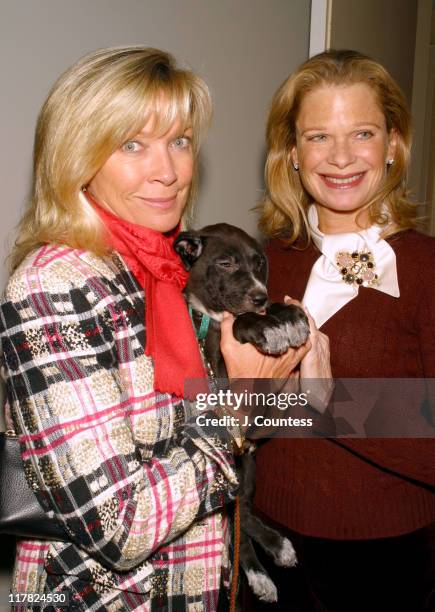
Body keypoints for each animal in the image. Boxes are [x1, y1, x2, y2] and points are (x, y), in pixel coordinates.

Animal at [174, 224, 310, 604]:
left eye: (259, 262)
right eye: (225, 262)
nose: (260, 297)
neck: (214, 315)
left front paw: (288, 316)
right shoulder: (218, 365)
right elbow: (239, 324)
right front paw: (265, 326)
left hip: (247, 469)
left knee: (242, 513)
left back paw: (265, 565)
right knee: (240, 514)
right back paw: (275, 549)